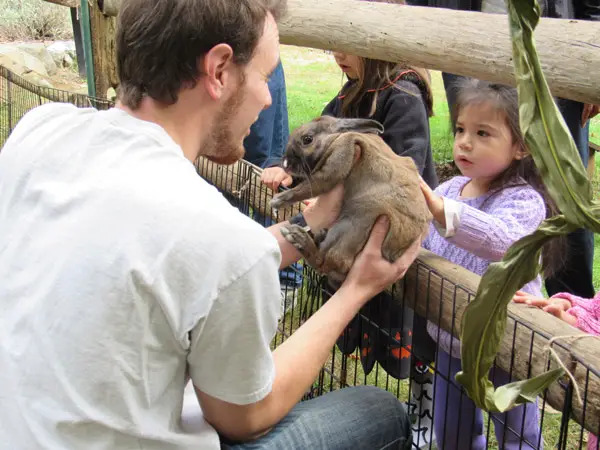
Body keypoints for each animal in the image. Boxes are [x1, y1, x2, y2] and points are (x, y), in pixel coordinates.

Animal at [268, 116, 432, 284]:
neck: (335, 138)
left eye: (307, 139)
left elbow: (307, 188)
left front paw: (276, 201)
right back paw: (318, 234)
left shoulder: (338, 158)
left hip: (350, 226)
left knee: (325, 263)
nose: (286, 164)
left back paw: (297, 237)